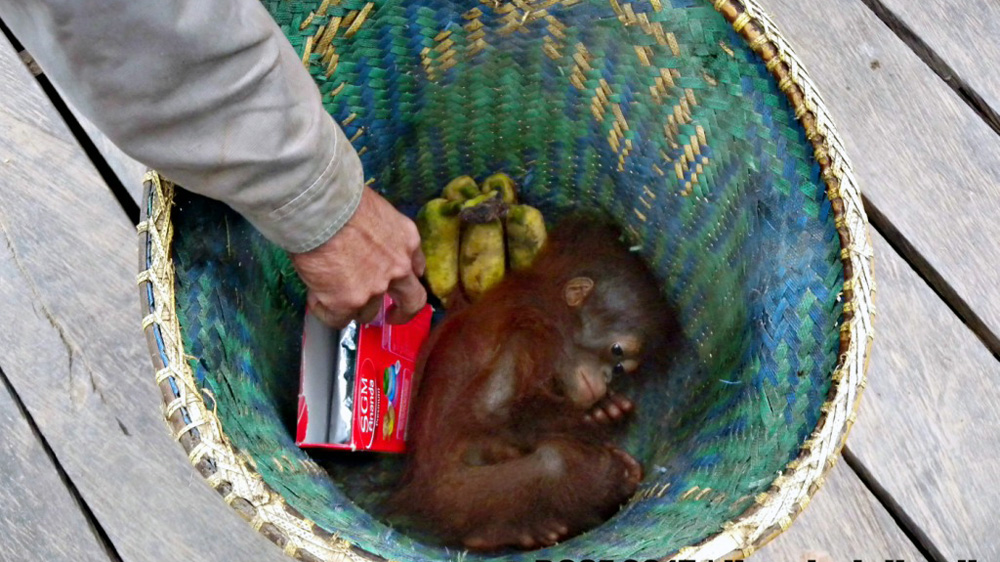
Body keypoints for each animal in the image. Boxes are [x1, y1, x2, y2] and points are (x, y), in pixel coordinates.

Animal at [387, 214, 674, 551]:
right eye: (617, 351)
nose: (606, 378)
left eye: (619, 370)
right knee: (553, 462)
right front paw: (592, 418)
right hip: (452, 499)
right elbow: (490, 408)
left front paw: (606, 409)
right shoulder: (532, 335)